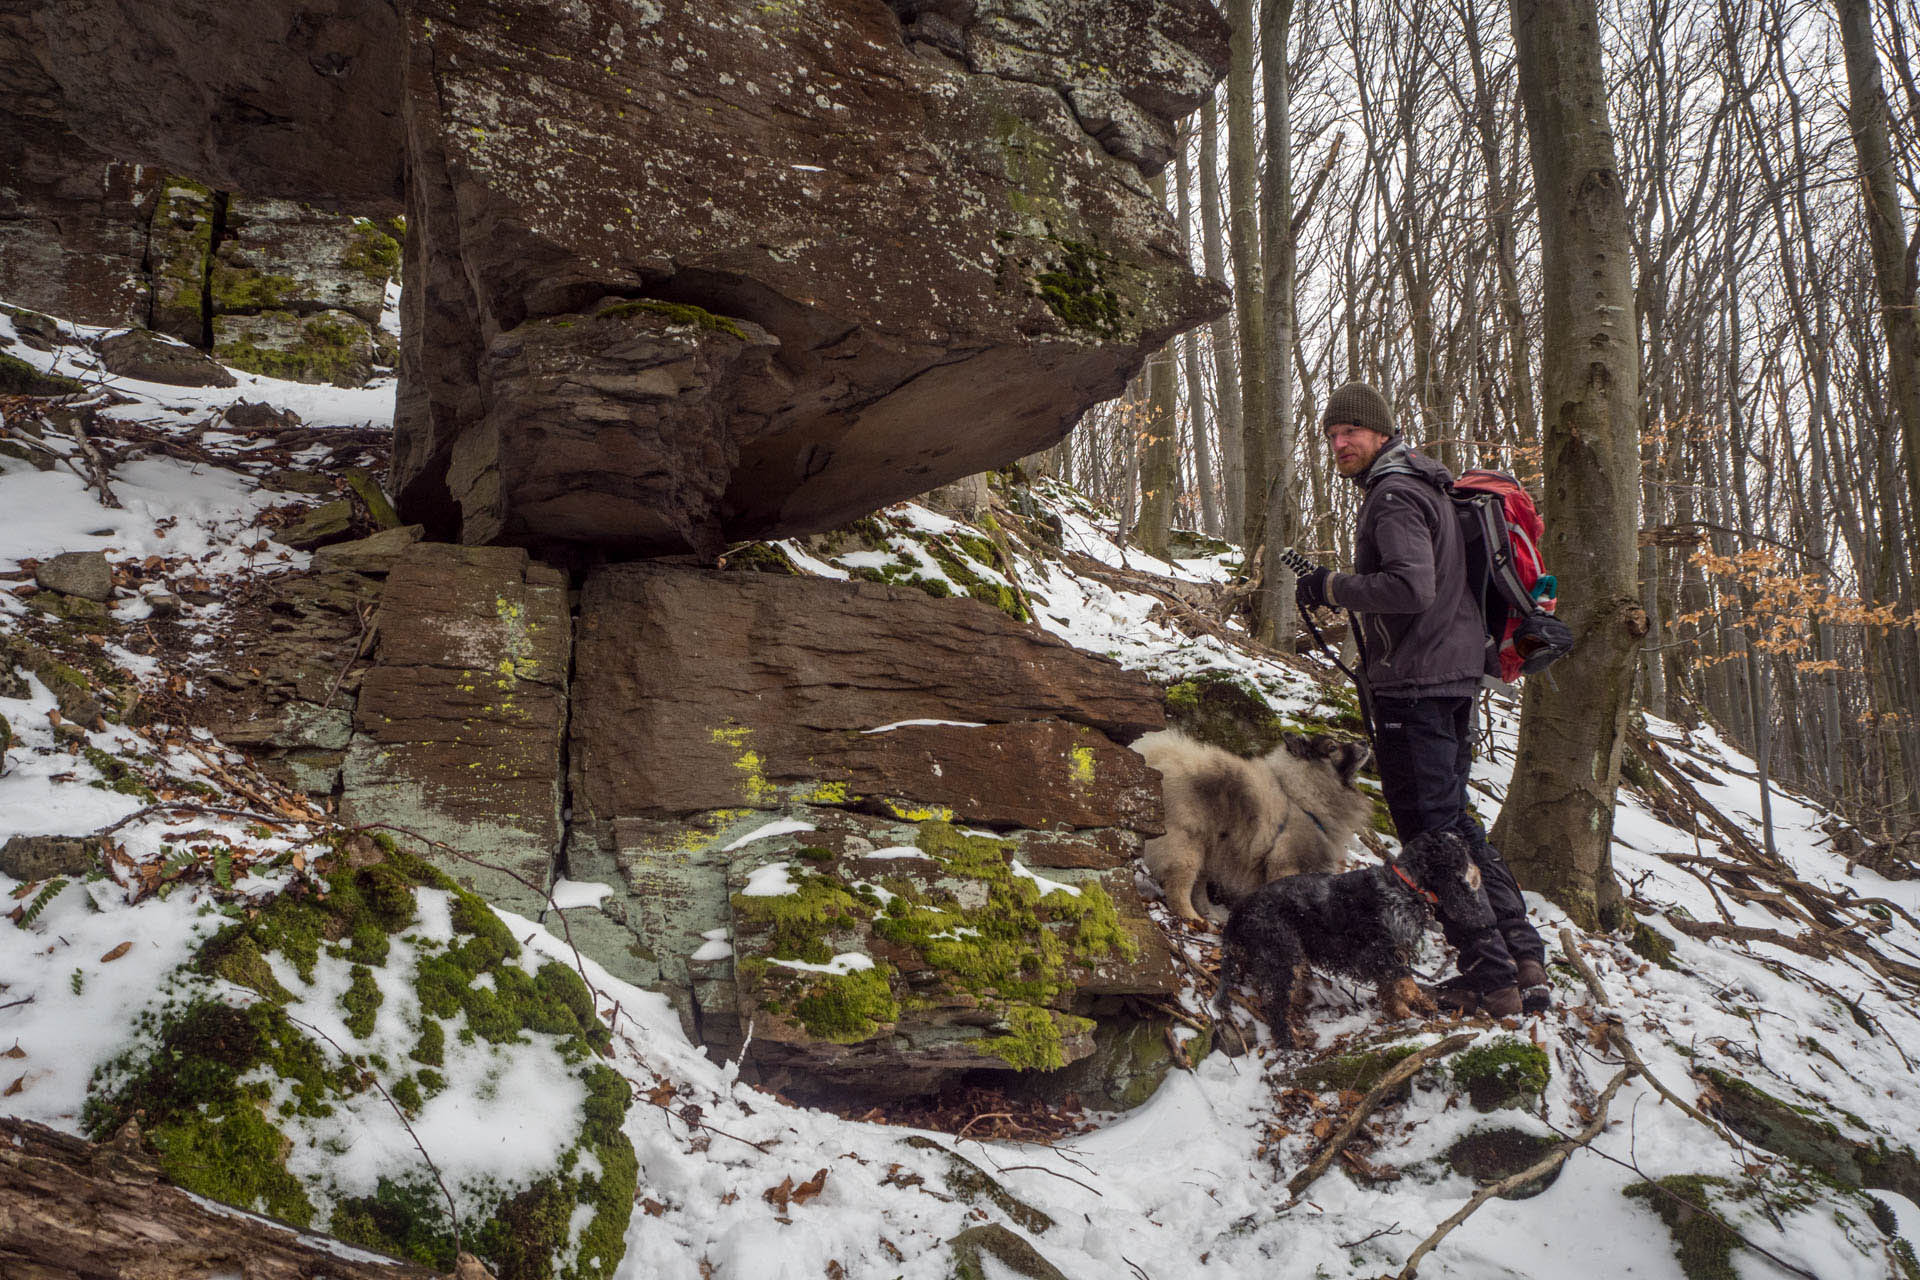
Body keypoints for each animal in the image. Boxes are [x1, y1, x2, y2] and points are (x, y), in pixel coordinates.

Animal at [1128, 729, 1374, 921]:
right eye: (1333, 747)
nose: (1365, 742)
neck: (1301, 795)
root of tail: (1157, 759)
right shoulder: (1285, 863)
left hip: (1210, 848)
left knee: (1198, 887)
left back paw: (1211, 917)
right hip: (1187, 846)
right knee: (1179, 887)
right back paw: (1192, 918)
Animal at [1205, 832, 1489, 1051]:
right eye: (1462, 852)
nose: (1481, 867)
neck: (1403, 887)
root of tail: (1238, 914)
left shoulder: (1388, 956)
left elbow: (1390, 989)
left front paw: (1399, 1013)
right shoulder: (1381, 952)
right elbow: (1405, 981)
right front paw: (1420, 1004)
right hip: (1283, 956)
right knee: (1275, 1005)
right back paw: (1291, 1040)